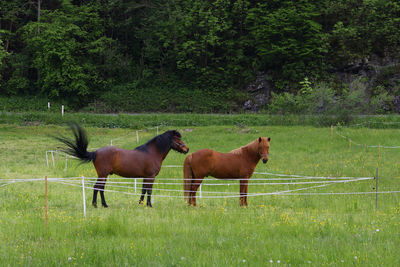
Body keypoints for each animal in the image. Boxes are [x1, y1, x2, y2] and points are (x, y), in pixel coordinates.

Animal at [54, 123, 189, 209]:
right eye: (178, 139)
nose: (186, 149)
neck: (152, 152)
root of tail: (96, 152)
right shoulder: (151, 176)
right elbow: (149, 190)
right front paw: (149, 205)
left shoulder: (145, 177)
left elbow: (143, 190)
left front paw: (140, 203)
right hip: (103, 174)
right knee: (97, 187)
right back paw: (95, 205)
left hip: (104, 175)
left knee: (101, 188)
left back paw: (104, 205)